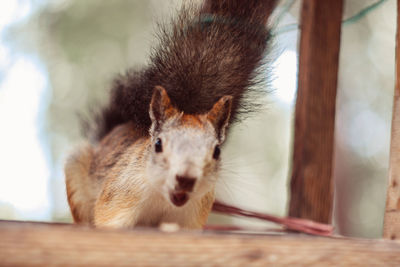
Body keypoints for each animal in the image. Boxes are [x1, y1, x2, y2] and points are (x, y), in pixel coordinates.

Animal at [66, 0, 278, 230]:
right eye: (158, 144)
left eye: (217, 151)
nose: (185, 179)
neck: (163, 199)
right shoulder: (118, 198)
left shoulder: (193, 217)